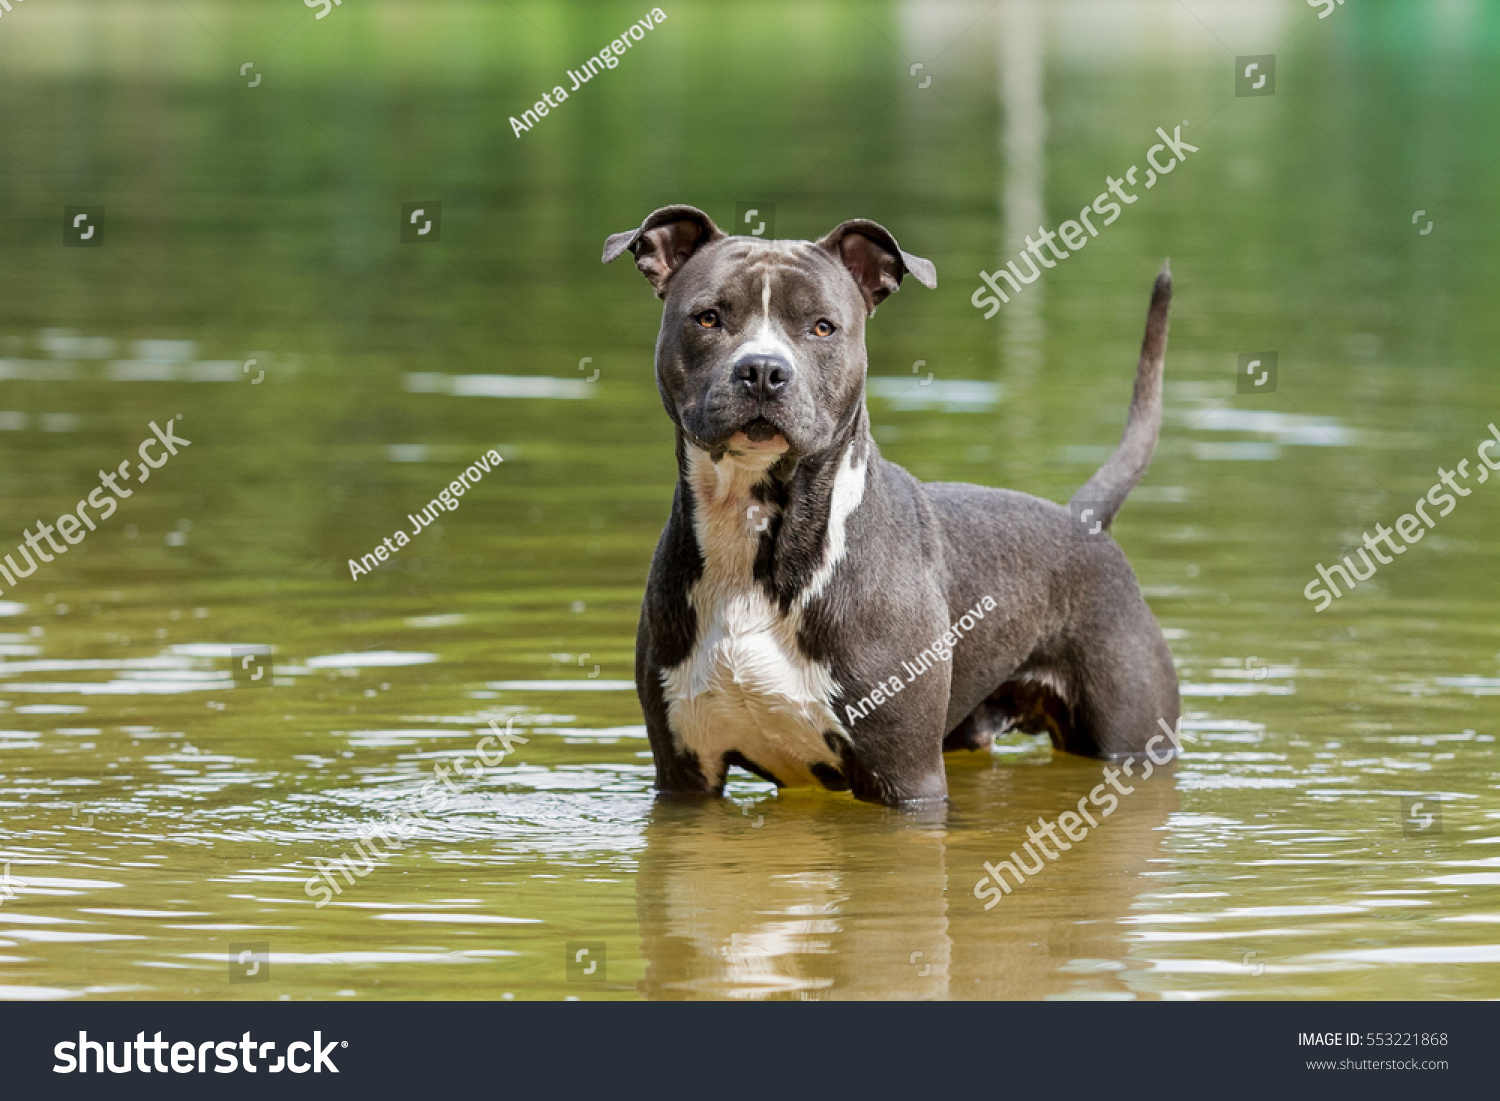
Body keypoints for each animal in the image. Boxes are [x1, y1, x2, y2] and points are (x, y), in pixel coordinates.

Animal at [603, 205, 1176, 810]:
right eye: (708, 318)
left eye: (823, 326)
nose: (762, 370)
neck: (757, 532)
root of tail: (1081, 520)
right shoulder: (685, 774)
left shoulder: (906, 777)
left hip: (1132, 736)